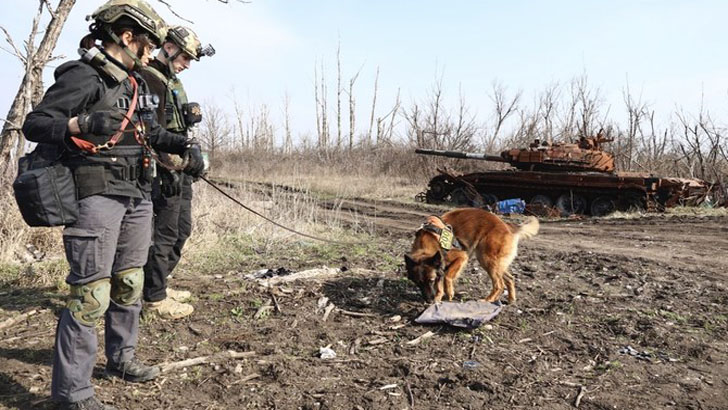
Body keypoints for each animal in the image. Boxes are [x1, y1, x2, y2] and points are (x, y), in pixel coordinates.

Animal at [406, 210, 536, 302]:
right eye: (417, 283)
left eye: (431, 280)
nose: (428, 300)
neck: (430, 240)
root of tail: (507, 226)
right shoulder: (440, 266)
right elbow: (440, 283)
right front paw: (438, 298)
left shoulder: (461, 257)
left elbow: (447, 277)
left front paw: (448, 293)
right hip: (496, 263)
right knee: (510, 278)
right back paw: (511, 300)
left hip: (486, 259)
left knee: (499, 285)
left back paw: (487, 300)